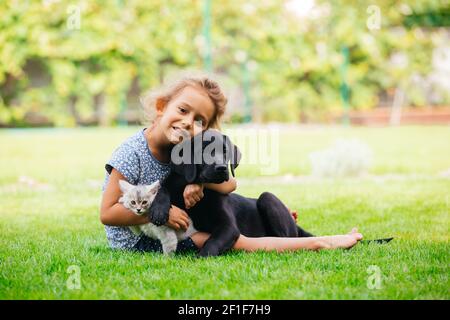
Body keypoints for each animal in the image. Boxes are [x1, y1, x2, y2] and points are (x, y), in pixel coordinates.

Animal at [149, 129, 314, 256]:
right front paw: (158, 210)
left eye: (225, 151)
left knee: (285, 240)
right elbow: (162, 188)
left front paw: (201, 256)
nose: (221, 168)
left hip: (268, 197)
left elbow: (213, 242)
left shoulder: (228, 227)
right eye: (202, 151)